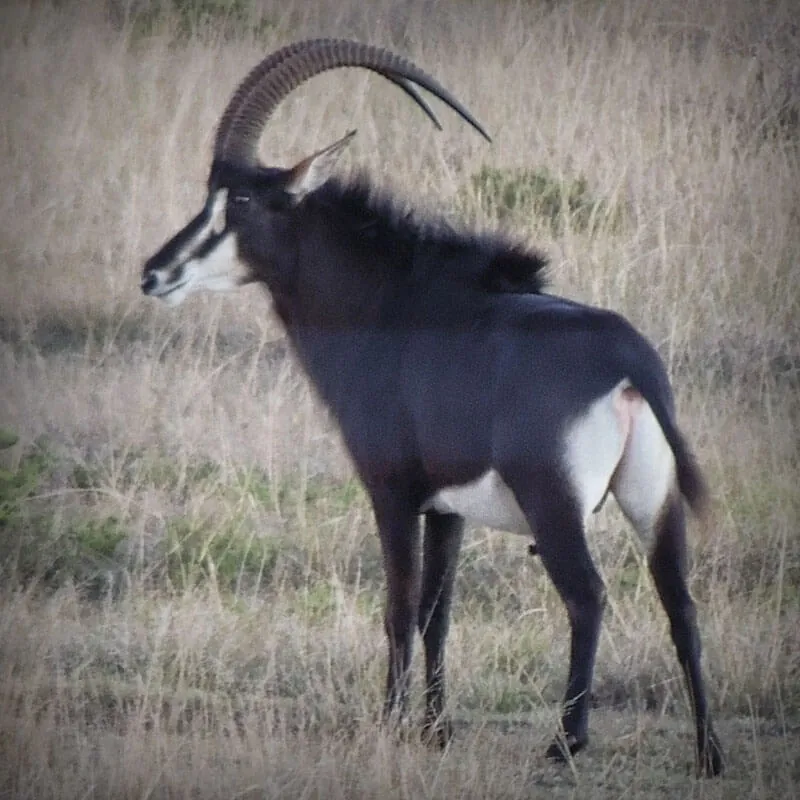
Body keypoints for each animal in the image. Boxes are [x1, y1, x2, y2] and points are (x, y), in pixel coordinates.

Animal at [141, 37, 720, 776]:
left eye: (239, 197)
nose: (155, 273)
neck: (392, 305)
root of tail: (630, 363)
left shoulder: (391, 492)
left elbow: (398, 606)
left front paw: (388, 724)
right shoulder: (448, 509)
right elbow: (436, 613)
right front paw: (435, 730)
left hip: (554, 503)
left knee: (588, 597)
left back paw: (565, 743)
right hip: (656, 501)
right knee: (682, 604)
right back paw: (709, 754)